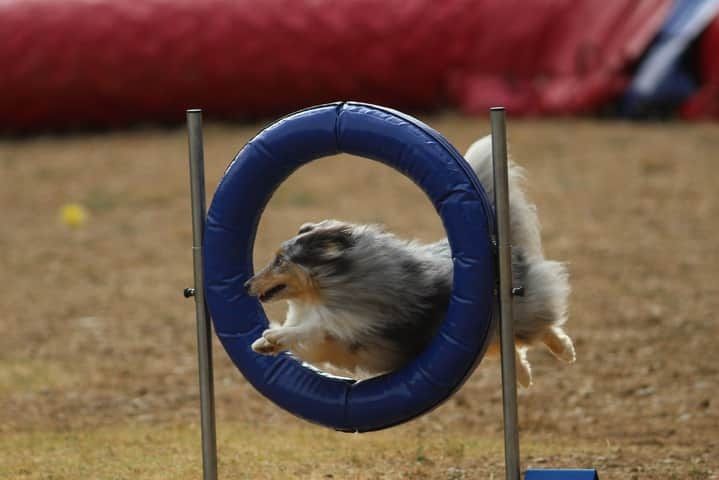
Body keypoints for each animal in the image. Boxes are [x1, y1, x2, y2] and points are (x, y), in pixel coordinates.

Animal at [246, 135, 572, 386]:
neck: (324, 289)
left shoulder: (353, 324)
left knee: (540, 327)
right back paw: (525, 377)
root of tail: (497, 243)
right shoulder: (331, 343)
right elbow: (306, 337)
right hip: (487, 338)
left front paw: (273, 335)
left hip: (515, 312)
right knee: (512, 347)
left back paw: (566, 352)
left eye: (279, 260)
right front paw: (264, 343)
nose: (246, 284)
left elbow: (314, 328)